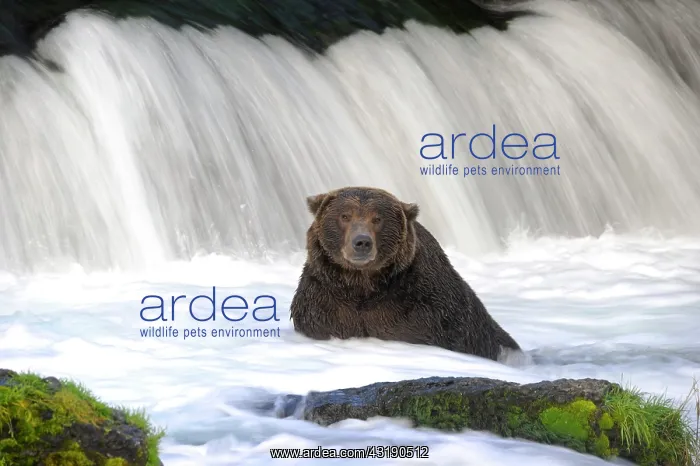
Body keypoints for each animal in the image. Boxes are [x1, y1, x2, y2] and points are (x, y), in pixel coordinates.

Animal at [289, 186, 521, 362]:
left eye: (377, 219)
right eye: (345, 216)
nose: (362, 242)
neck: (363, 283)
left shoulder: (425, 312)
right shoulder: (324, 305)